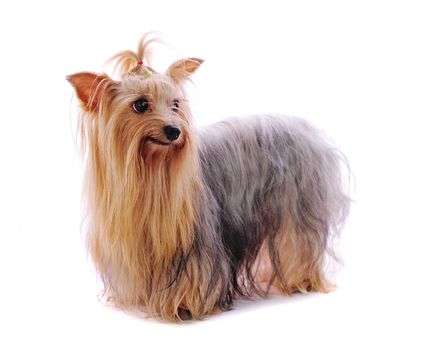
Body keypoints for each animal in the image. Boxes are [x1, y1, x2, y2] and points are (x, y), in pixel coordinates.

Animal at [66, 34, 348, 322]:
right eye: (141, 104)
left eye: (176, 104)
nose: (174, 130)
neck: (151, 173)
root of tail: (308, 130)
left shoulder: (197, 248)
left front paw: (183, 305)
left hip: (297, 210)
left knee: (296, 244)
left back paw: (300, 281)